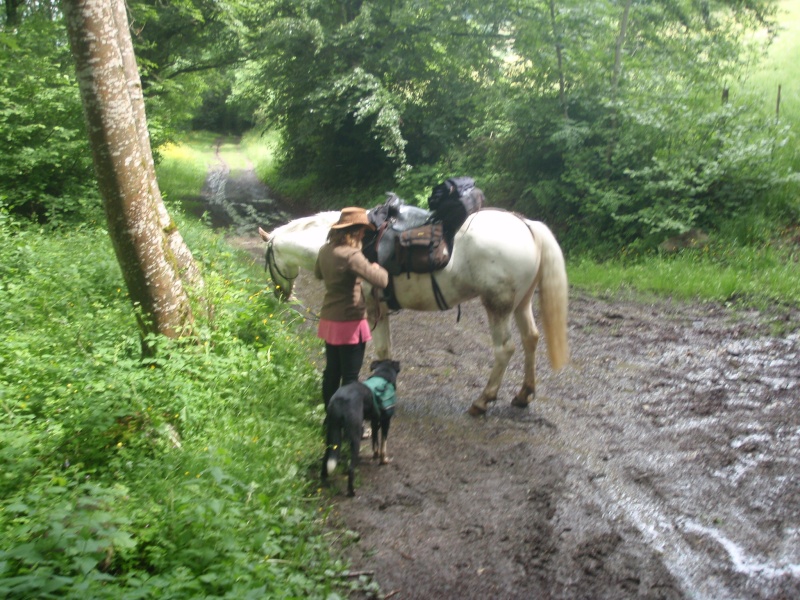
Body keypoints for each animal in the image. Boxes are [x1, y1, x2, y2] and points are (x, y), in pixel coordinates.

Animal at [258, 209, 568, 414]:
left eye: (267, 259)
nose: (280, 294)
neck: (350, 245)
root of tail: (527, 226)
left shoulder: (373, 311)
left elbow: (381, 350)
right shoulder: (381, 311)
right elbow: (385, 351)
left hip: (498, 306)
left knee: (505, 349)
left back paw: (483, 400)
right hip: (521, 303)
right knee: (531, 339)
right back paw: (524, 394)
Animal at [322, 358, 400, 494]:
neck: (383, 376)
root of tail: (339, 401)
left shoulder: (375, 421)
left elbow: (375, 441)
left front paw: (375, 455)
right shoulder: (386, 421)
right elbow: (383, 445)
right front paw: (383, 460)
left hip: (332, 433)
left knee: (327, 458)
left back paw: (324, 479)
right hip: (355, 436)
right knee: (350, 468)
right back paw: (351, 492)